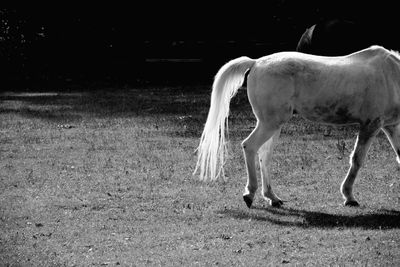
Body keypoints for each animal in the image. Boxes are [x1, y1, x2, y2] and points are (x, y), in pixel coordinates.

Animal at [193, 45, 400, 209]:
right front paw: (349, 196)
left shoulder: (391, 126)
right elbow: (357, 160)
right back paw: (250, 194)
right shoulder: (371, 125)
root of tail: (256, 63)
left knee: (264, 156)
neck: (391, 76)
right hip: (269, 124)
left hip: (272, 125)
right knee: (250, 146)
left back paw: (273, 197)